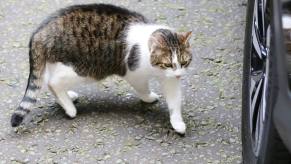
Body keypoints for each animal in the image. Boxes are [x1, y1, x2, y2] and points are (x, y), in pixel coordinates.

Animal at [11, 3, 193, 135]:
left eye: (184, 62)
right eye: (168, 64)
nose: (179, 75)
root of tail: (39, 31)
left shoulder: (170, 80)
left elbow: (174, 101)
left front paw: (177, 122)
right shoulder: (134, 74)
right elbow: (143, 89)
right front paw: (148, 98)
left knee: (49, 81)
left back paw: (67, 98)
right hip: (83, 69)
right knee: (52, 83)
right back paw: (69, 109)